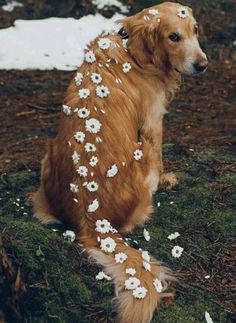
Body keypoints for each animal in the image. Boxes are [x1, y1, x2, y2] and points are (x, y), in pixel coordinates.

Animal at [28, 3, 207, 323]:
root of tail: (90, 221)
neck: (131, 47)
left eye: (195, 30)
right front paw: (167, 180)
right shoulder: (153, 122)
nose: (203, 64)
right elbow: (161, 156)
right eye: (173, 37)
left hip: (46, 156)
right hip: (142, 158)